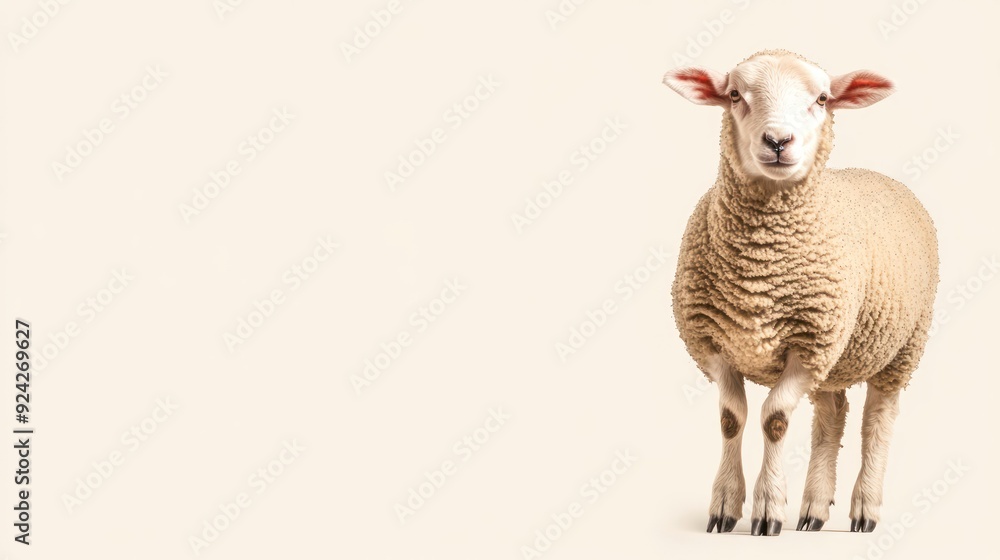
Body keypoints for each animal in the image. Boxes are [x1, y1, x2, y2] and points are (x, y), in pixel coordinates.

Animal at [662, 50, 939, 536]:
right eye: (734, 95)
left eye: (823, 98)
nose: (777, 140)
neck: (759, 267)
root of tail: (880, 175)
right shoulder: (713, 342)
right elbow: (731, 419)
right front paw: (725, 506)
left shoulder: (808, 344)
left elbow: (774, 420)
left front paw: (768, 509)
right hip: (835, 360)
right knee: (831, 419)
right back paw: (814, 507)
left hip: (902, 345)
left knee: (877, 421)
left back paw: (864, 508)